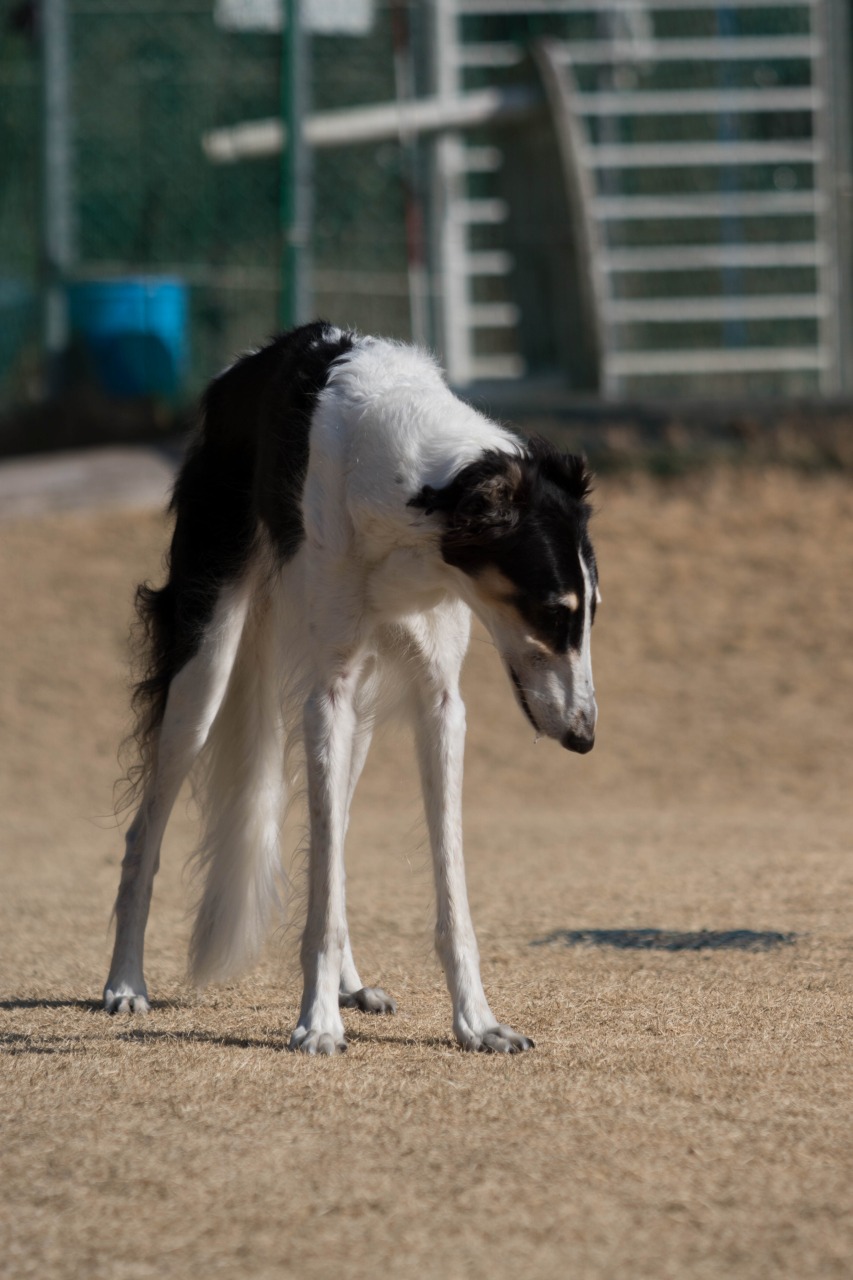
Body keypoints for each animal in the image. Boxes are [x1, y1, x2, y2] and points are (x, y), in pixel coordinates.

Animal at [104, 320, 596, 1049]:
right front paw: (316, 1024)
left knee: (328, 844)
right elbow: (324, 890)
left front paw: (477, 1023)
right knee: (146, 835)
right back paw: (125, 983)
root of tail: (243, 367)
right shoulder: (326, 695)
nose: (585, 738)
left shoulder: (440, 704)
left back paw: (349, 986)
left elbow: (444, 890)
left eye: (590, 613)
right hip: (206, 667)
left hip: (355, 714)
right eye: (553, 611)